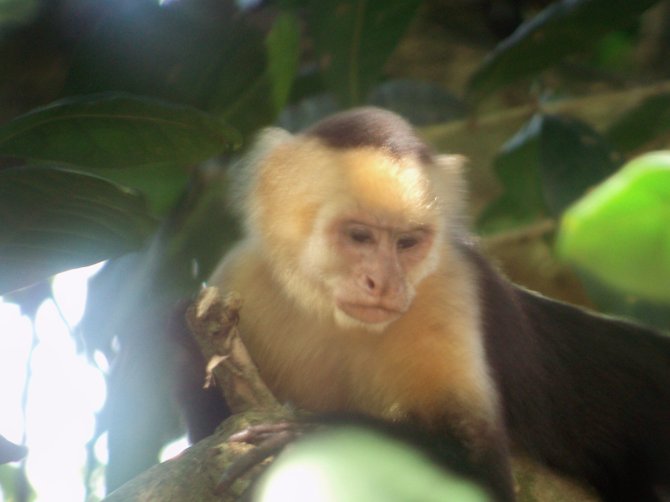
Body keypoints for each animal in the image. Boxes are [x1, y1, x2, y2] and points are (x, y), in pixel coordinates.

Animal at [205, 107, 670, 502]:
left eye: (407, 242)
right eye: (359, 236)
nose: (384, 284)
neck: (333, 316)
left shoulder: (449, 286)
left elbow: (481, 476)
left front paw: (309, 436)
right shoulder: (239, 275)